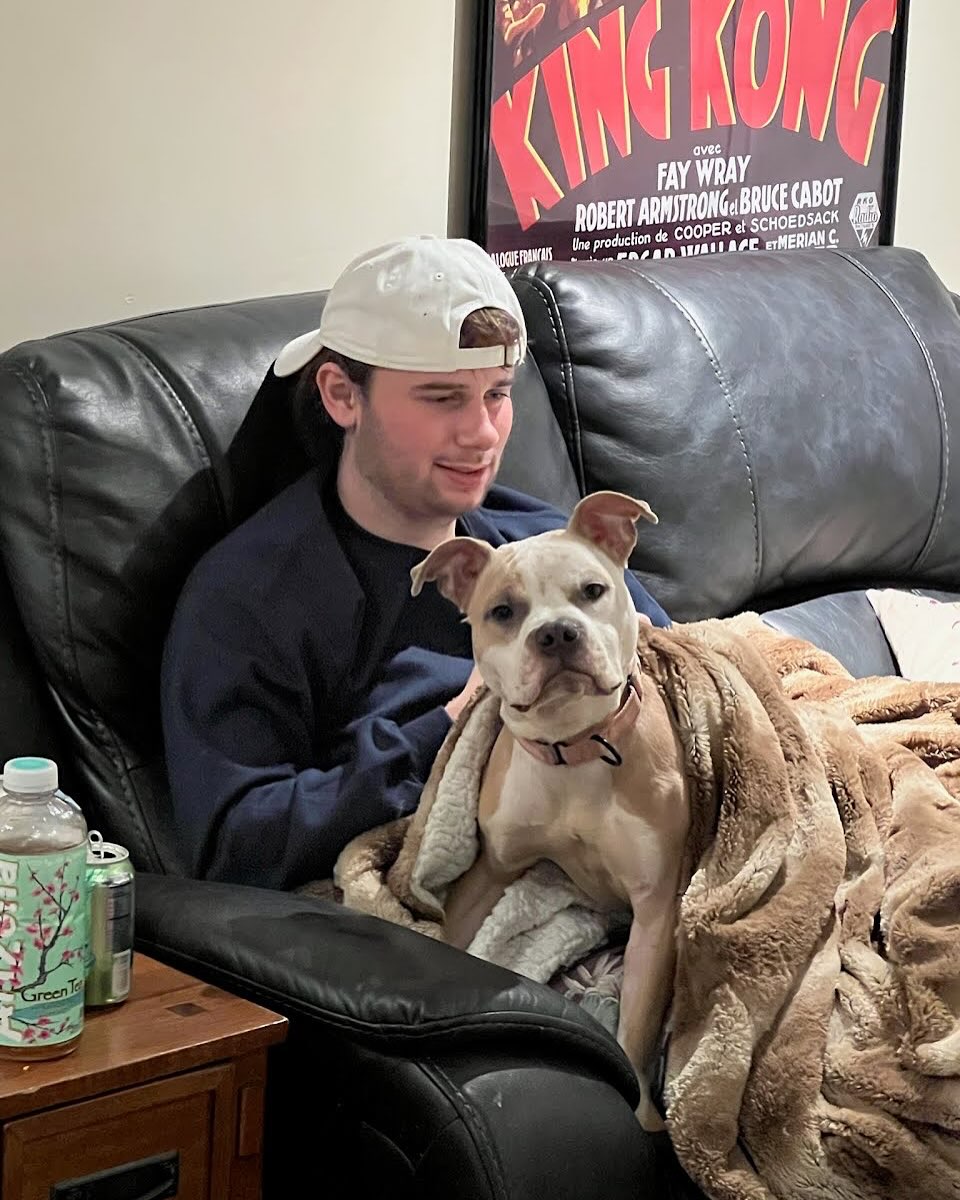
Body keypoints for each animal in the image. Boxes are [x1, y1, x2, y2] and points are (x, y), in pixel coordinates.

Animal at [410, 492, 691, 1128]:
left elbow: (635, 1028)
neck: (575, 749)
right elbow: (455, 940)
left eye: (592, 590)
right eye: (502, 612)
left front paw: (642, 1114)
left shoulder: (655, 909)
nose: (557, 634)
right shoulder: (490, 869)